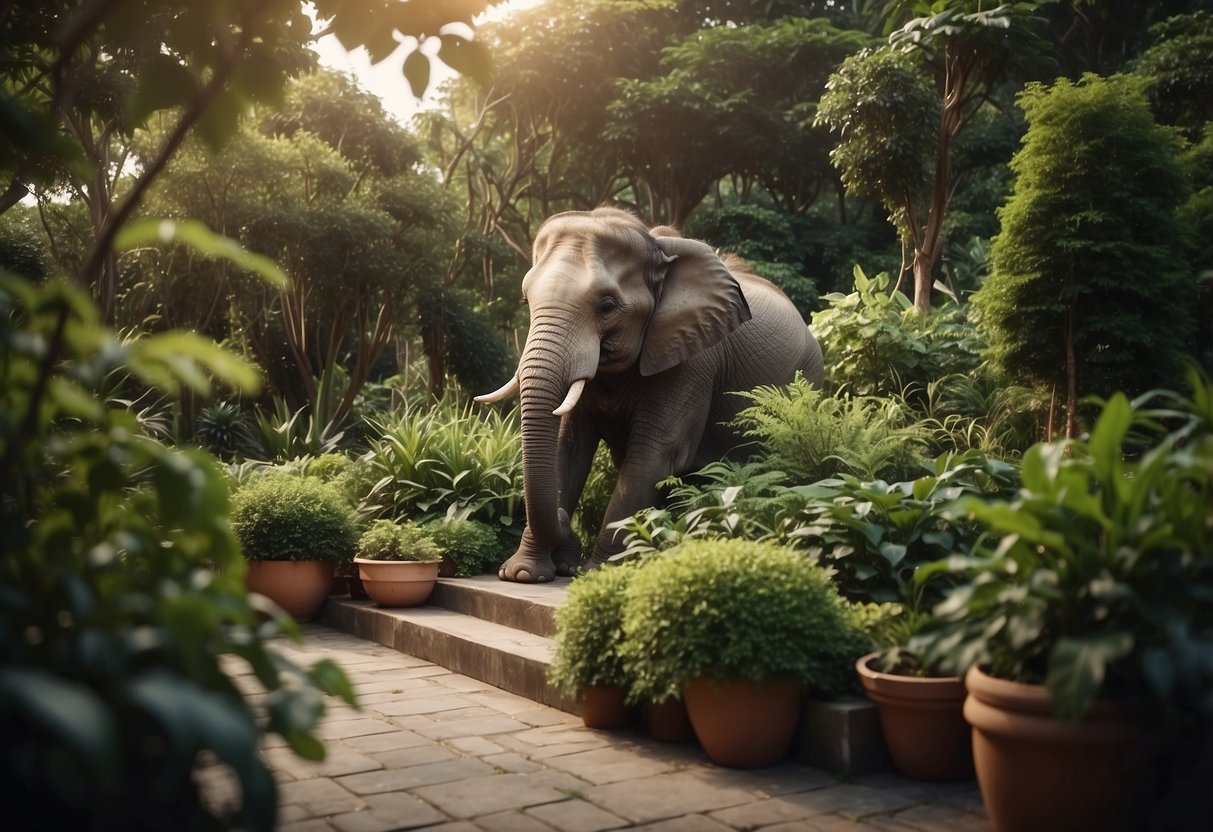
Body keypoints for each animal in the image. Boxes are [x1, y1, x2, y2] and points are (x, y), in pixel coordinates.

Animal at [473, 207, 824, 587]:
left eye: (607, 306)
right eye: (526, 300)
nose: (566, 520)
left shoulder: (694, 360)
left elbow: (655, 453)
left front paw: (598, 573)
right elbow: (568, 448)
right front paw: (523, 574)